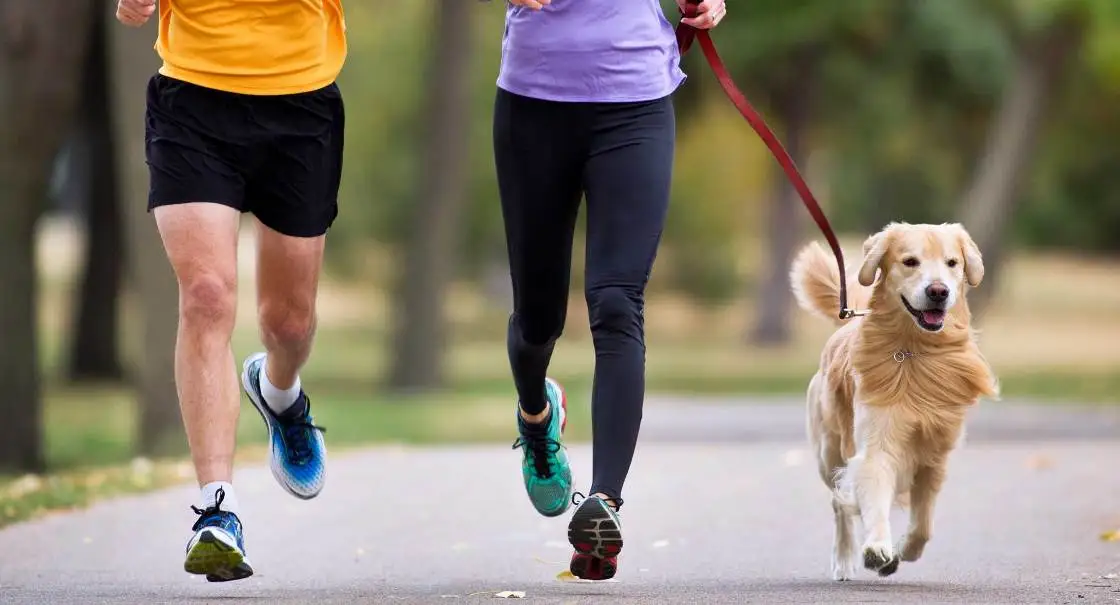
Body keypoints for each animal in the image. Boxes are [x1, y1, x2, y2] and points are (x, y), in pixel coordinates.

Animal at [792, 221, 1003, 582]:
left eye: (952, 263)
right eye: (910, 262)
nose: (938, 291)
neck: (916, 351)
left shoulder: (935, 454)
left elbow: (924, 524)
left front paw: (904, 549)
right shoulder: (877, 443)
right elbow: (873, 492)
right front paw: (878, 548)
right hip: (828, 450)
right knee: (839, 503)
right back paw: (844, 559)